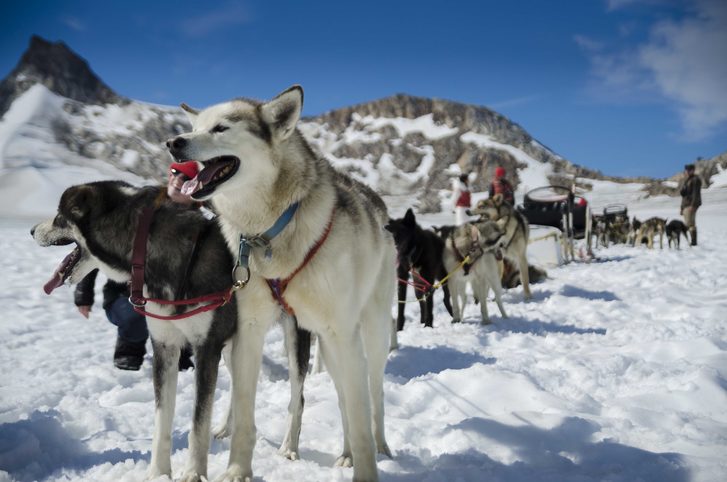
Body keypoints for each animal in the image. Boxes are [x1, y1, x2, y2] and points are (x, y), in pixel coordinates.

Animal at [32, 182, 239, 482]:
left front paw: (192, 473)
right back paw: (227, 428)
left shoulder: (207, 348)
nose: (31, 230)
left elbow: (198, 423)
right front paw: (158, 473)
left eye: (59, 216)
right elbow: (161, 420)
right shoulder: (164, 345)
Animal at [168, 84, 396, 480]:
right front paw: (237, 470)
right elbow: (244, 412)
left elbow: (359, 415)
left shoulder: (343, 334)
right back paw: (345, 453)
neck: (270, 232)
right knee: (343, 399)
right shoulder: (249, 329)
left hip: (365, 335)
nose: (173, 142)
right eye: (195, 126)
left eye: (221, 128)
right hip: (329, 348)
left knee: (372, 394)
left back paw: (378, 446)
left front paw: (367, 468)